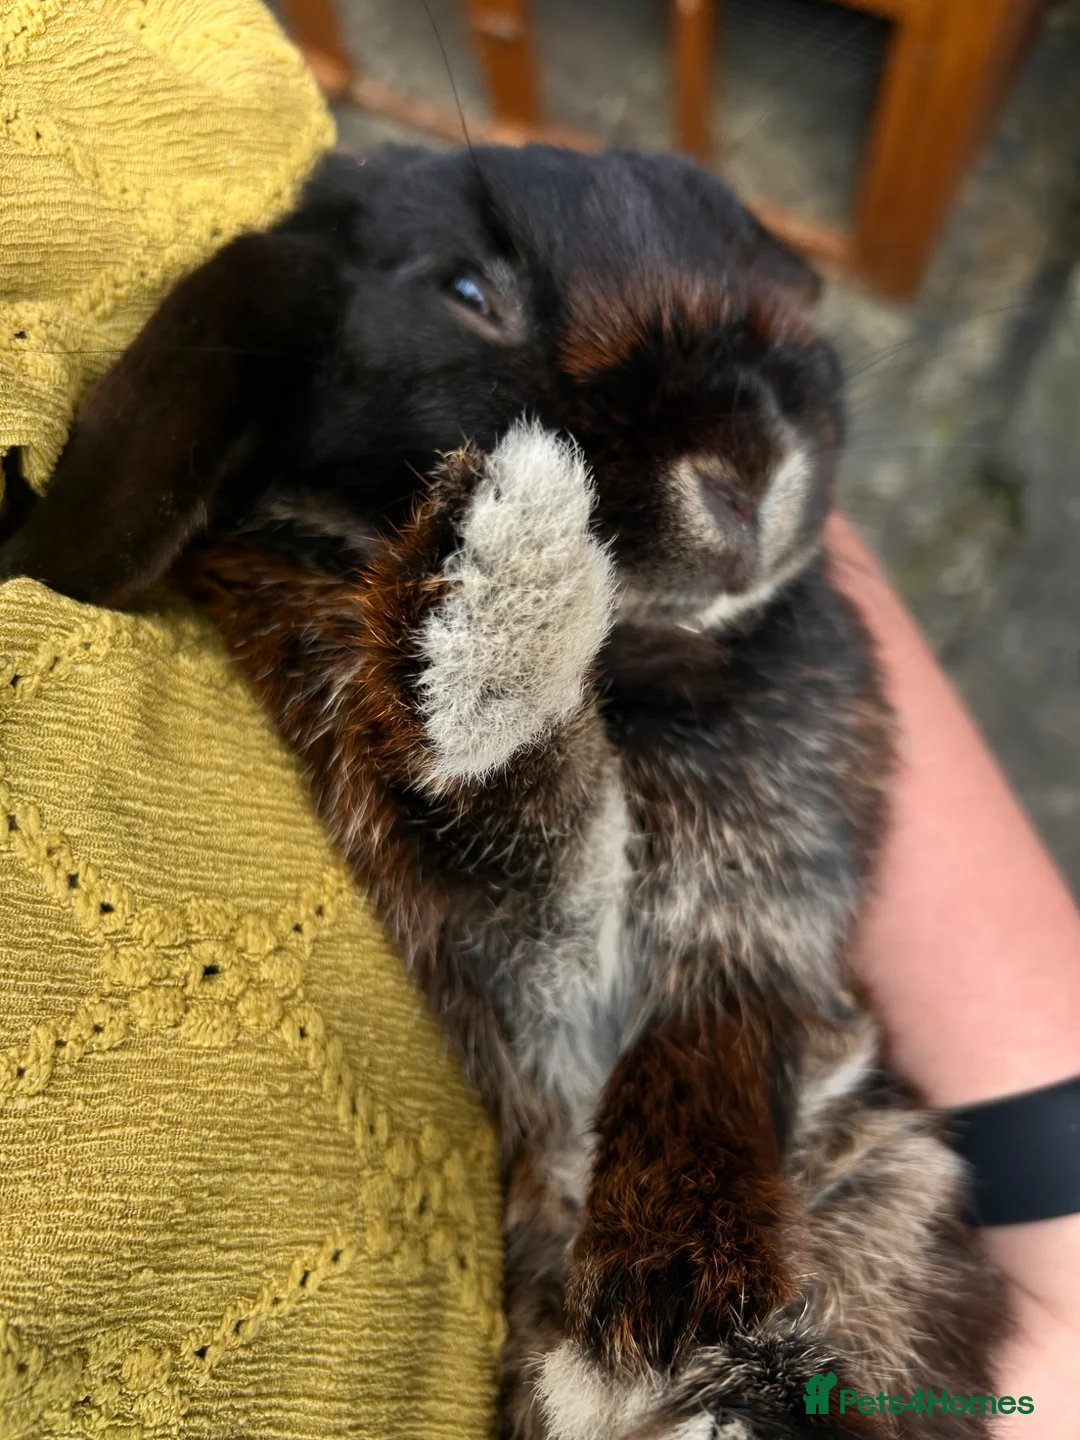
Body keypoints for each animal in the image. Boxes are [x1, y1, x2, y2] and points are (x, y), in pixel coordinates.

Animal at [0, 145, 1004, 1438]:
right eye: (468, 290)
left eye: (774, 293)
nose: (745, 471)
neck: (640, 665)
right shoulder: (529, 962)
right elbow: (523, 804)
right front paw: (507, 556)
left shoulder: (754, 946)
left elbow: (713, 1064)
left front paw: (667, 1318)